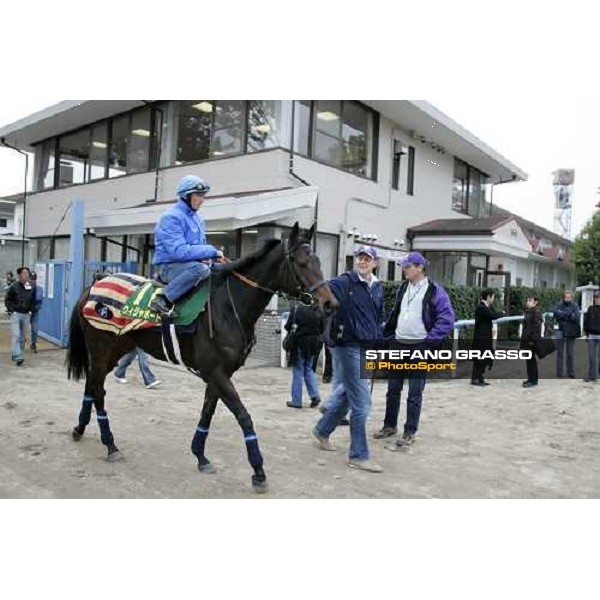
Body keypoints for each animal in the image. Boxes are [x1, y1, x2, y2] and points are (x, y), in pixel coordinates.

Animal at [67, 223, 338, 490]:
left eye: (318, 261)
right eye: (301, 262)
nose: (329, 303)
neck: (228, 307)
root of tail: (93, 286)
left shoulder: (220, 374)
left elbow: (207, 412)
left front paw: (200, 455)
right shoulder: (217, 373)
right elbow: (244, 416)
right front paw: (258, 470)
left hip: (116, 349)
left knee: (92, 384)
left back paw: (80, 428)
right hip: (100, 347)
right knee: (98, 391)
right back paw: (110, 444)